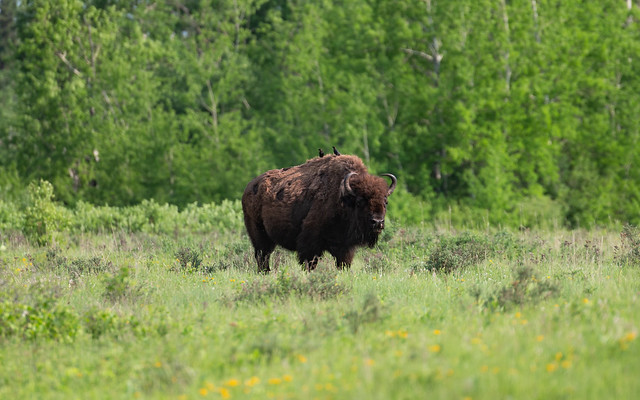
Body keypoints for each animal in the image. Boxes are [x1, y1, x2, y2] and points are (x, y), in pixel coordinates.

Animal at [242, 153, 398, 272]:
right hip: (259, 235)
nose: (377, 222)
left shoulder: (345, 247)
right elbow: (309, 263)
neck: (343, 198)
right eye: (360, 202)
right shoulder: (310, 244)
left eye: (385, 202)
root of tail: (249, 187)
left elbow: (343, 264)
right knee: (262, 256)